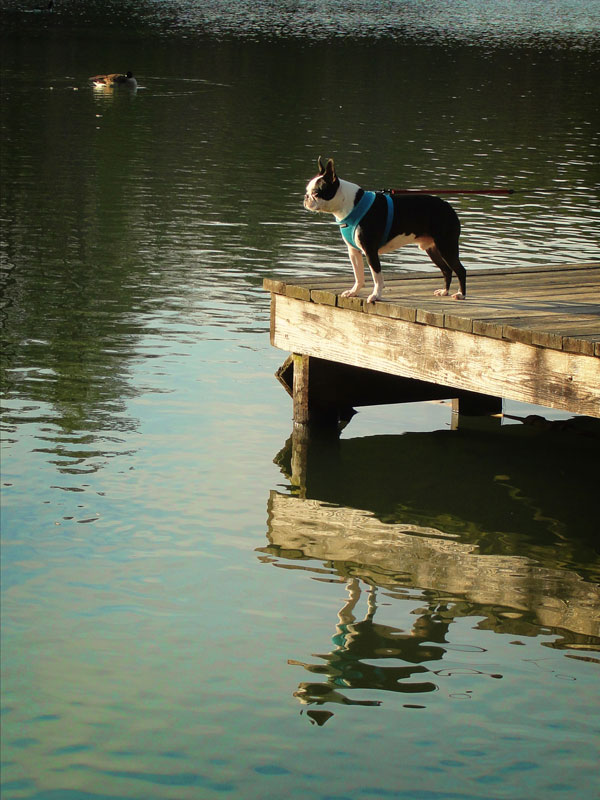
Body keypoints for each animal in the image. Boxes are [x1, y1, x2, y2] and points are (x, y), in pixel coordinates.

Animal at [302, 156, 466, 304]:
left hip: (446, 246)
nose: (305, 197)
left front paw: (376, 296)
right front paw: (354, 292)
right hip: (432, 249)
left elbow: (377, 277)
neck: (349, 204)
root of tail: (448, 207)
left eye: (316, 192)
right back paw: (444, 291)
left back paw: (461, 294)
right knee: (447, 270)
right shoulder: (353, 251)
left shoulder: (370, 251)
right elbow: (358, 276)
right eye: (307, 191)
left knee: (460, 269)